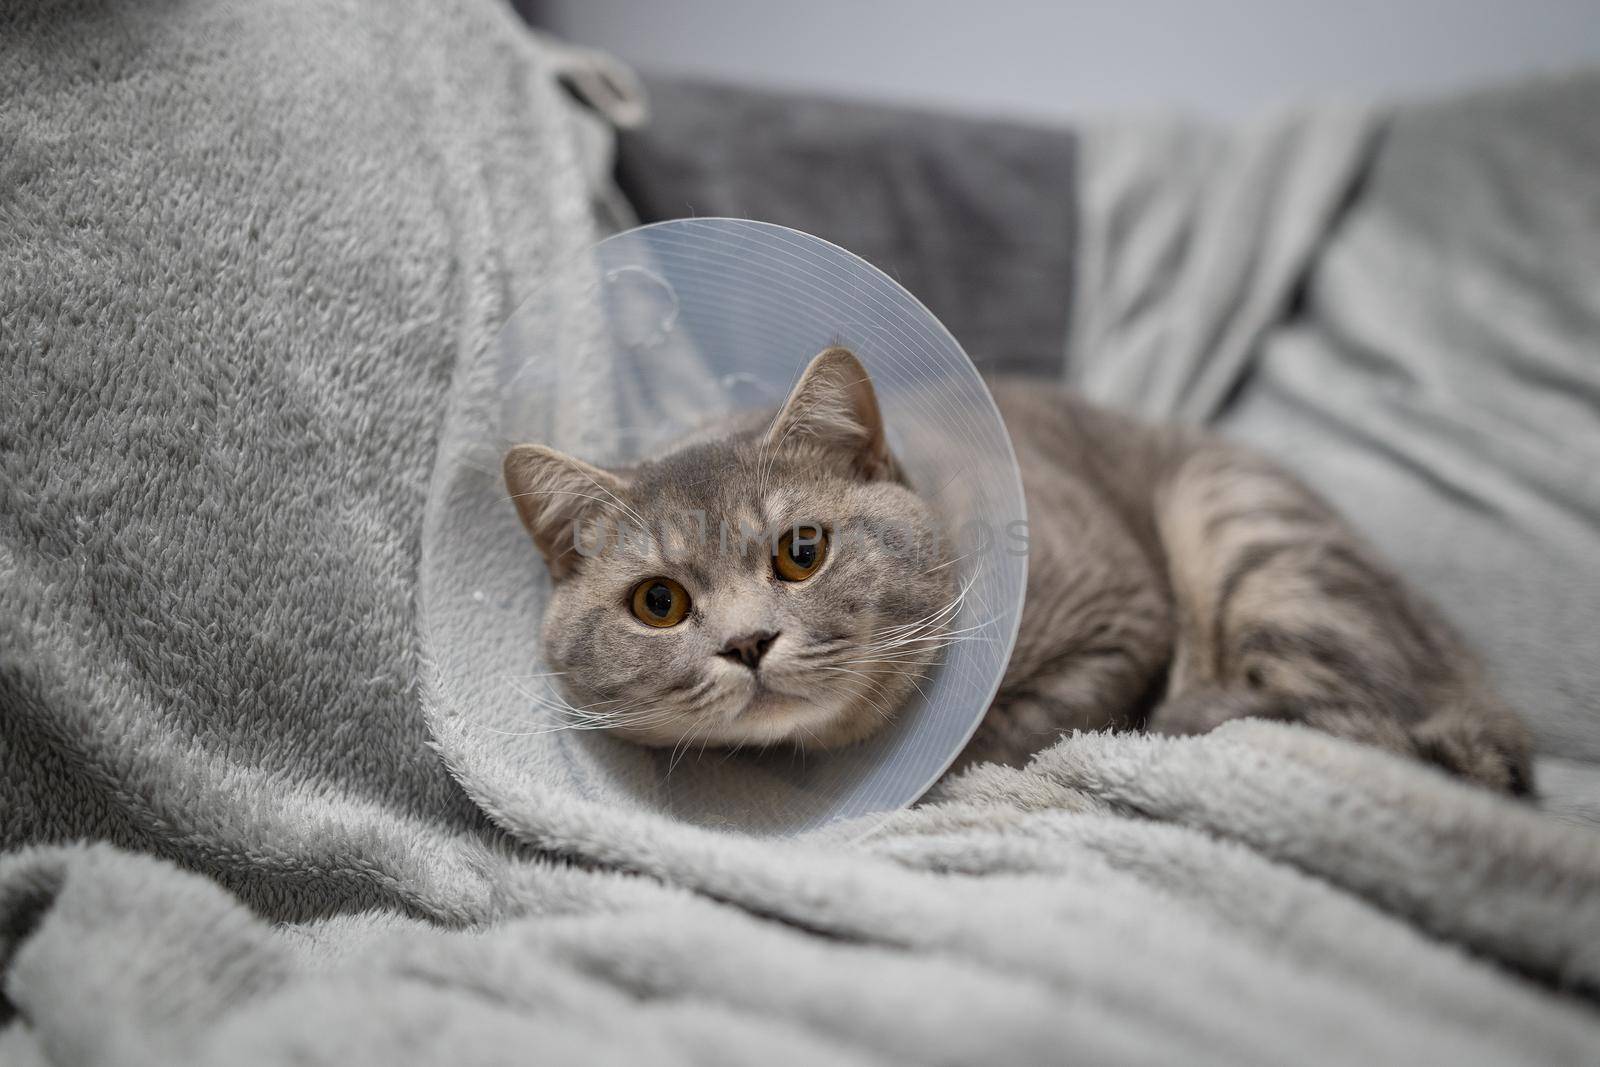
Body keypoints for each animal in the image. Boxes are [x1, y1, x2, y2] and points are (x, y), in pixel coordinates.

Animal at [505, 348, 1529, 793]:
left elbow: (1023, 723)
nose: (748, 641)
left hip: (1245, 525)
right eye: (659, 601)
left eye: (803, 550)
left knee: (1357, 708)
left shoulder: (1121, 614)